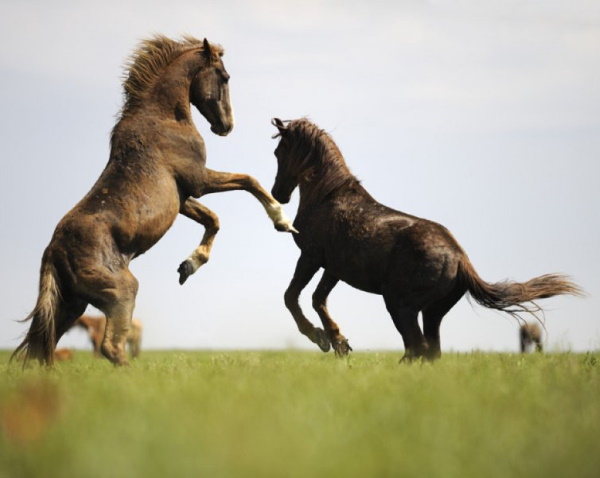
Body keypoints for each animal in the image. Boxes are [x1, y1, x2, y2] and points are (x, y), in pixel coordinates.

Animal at [11, 36, 296, 366]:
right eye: (224, 77)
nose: (227, 126)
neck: (163, 119)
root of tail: (53, 252)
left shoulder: (183, 198)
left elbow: (213, 219)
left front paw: (188, 266)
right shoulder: (199, 181)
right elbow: (249, 181)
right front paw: (282, 221)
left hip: (72, 305)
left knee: (44, 348)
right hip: (120, 292)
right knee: (111, 346)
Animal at [270, 118, 580, 362]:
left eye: (278, 151)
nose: (278, 194)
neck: (327, 196)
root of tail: (460, 259)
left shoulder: (310, 256)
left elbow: (292, 297)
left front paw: (321, 338)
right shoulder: (334, 268)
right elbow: (317, 299)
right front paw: (338, 341)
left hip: (401, 306)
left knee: (416, 347)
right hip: (432, 311)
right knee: (429, 350)